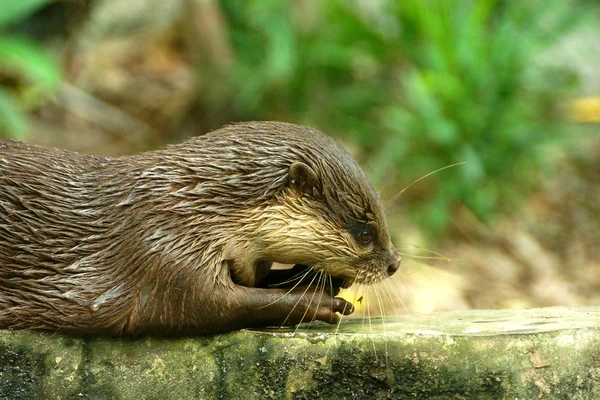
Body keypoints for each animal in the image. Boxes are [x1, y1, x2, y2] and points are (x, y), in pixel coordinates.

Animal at [1, 122, 404, 334]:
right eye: (364, 233)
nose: (395, 263)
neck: (195, 205)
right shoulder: (163, 248)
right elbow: (216, 305)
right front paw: (319, 302)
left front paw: (314, 280)